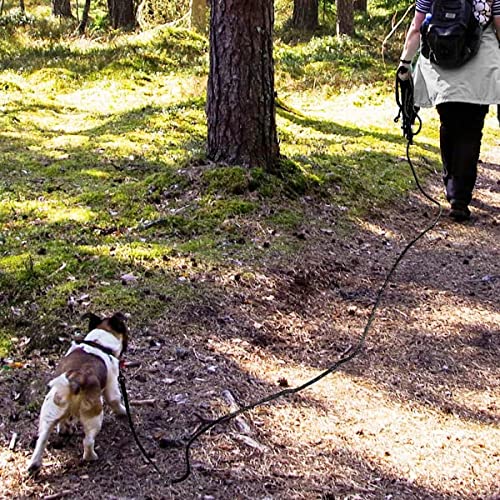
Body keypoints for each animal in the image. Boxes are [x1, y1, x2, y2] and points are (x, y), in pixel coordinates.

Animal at [27, 312, 129, 472]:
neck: (98, 343)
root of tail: (75, 379)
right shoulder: (112, 385)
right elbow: (115, 401)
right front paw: (123, 411)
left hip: (49, 411)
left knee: (42, 438)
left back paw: (35, 463)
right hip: (94, 415)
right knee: (88, 441)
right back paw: (91, 456)